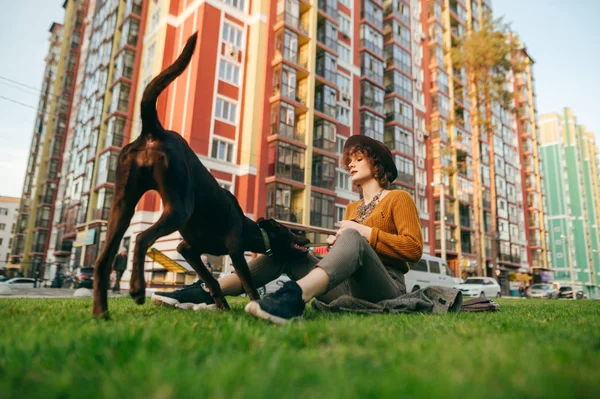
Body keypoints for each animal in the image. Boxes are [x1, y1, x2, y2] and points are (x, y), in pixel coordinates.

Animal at [92, 32, 314, 318]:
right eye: (289, 231)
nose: (308, 238)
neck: (252, 228)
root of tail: (154, 131)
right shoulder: (235, 251)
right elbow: (248, 284)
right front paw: (253, 305)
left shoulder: (187, 250)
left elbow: (210, 279)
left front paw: (222, 306)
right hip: (178, 207)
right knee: (141, 238)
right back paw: (137, 289)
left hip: (122, 206)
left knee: (102, 259)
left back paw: (101, 312)